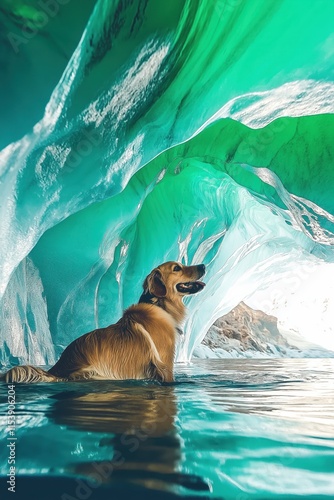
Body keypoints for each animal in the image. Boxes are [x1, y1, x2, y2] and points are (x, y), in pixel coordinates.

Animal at [2, 260, 205, 384]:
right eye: (177, 268)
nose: (203, 265)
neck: (159, 305)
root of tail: (56, 369)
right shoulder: (165, 365)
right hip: (94, 373)